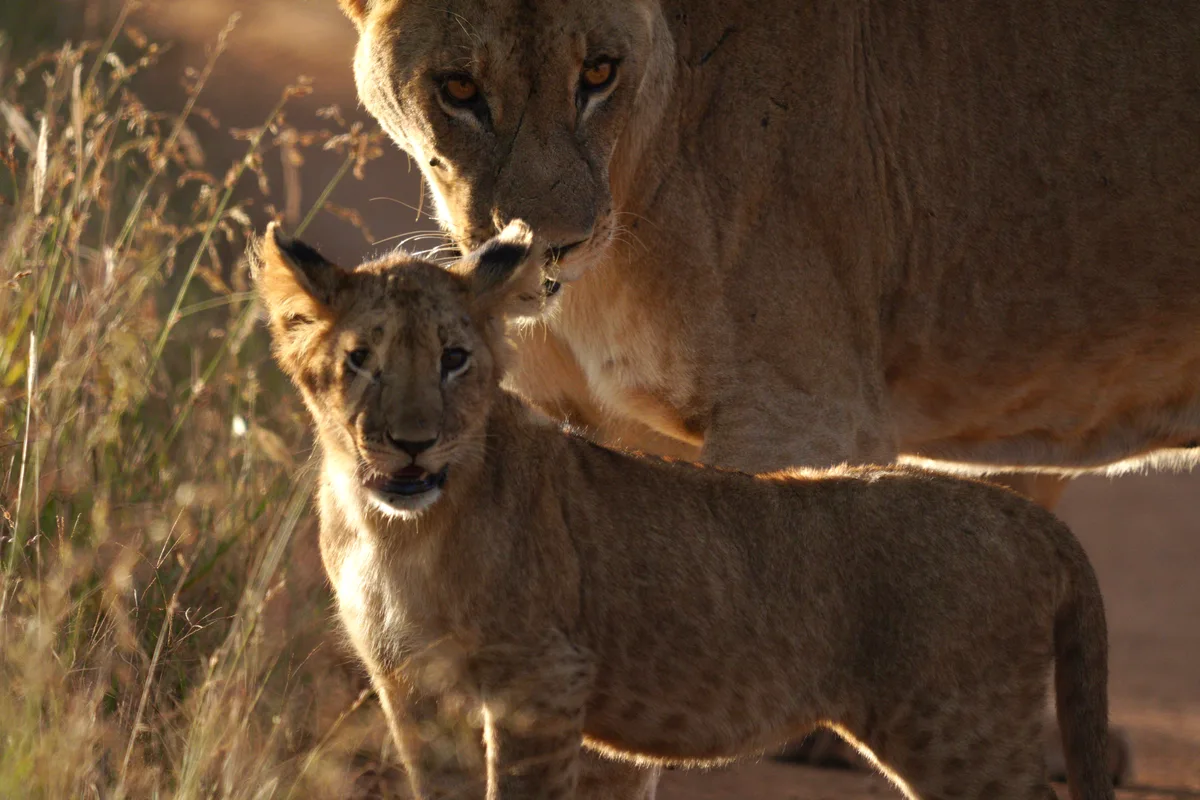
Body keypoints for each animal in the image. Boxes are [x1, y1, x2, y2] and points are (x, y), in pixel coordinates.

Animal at [255, 221, 1114, 800]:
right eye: (360, 360)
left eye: (454, 358)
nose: (411, 445)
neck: (398, 532)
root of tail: (1026, 517)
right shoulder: (411, 690)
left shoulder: (543, 679)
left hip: (961, 729)